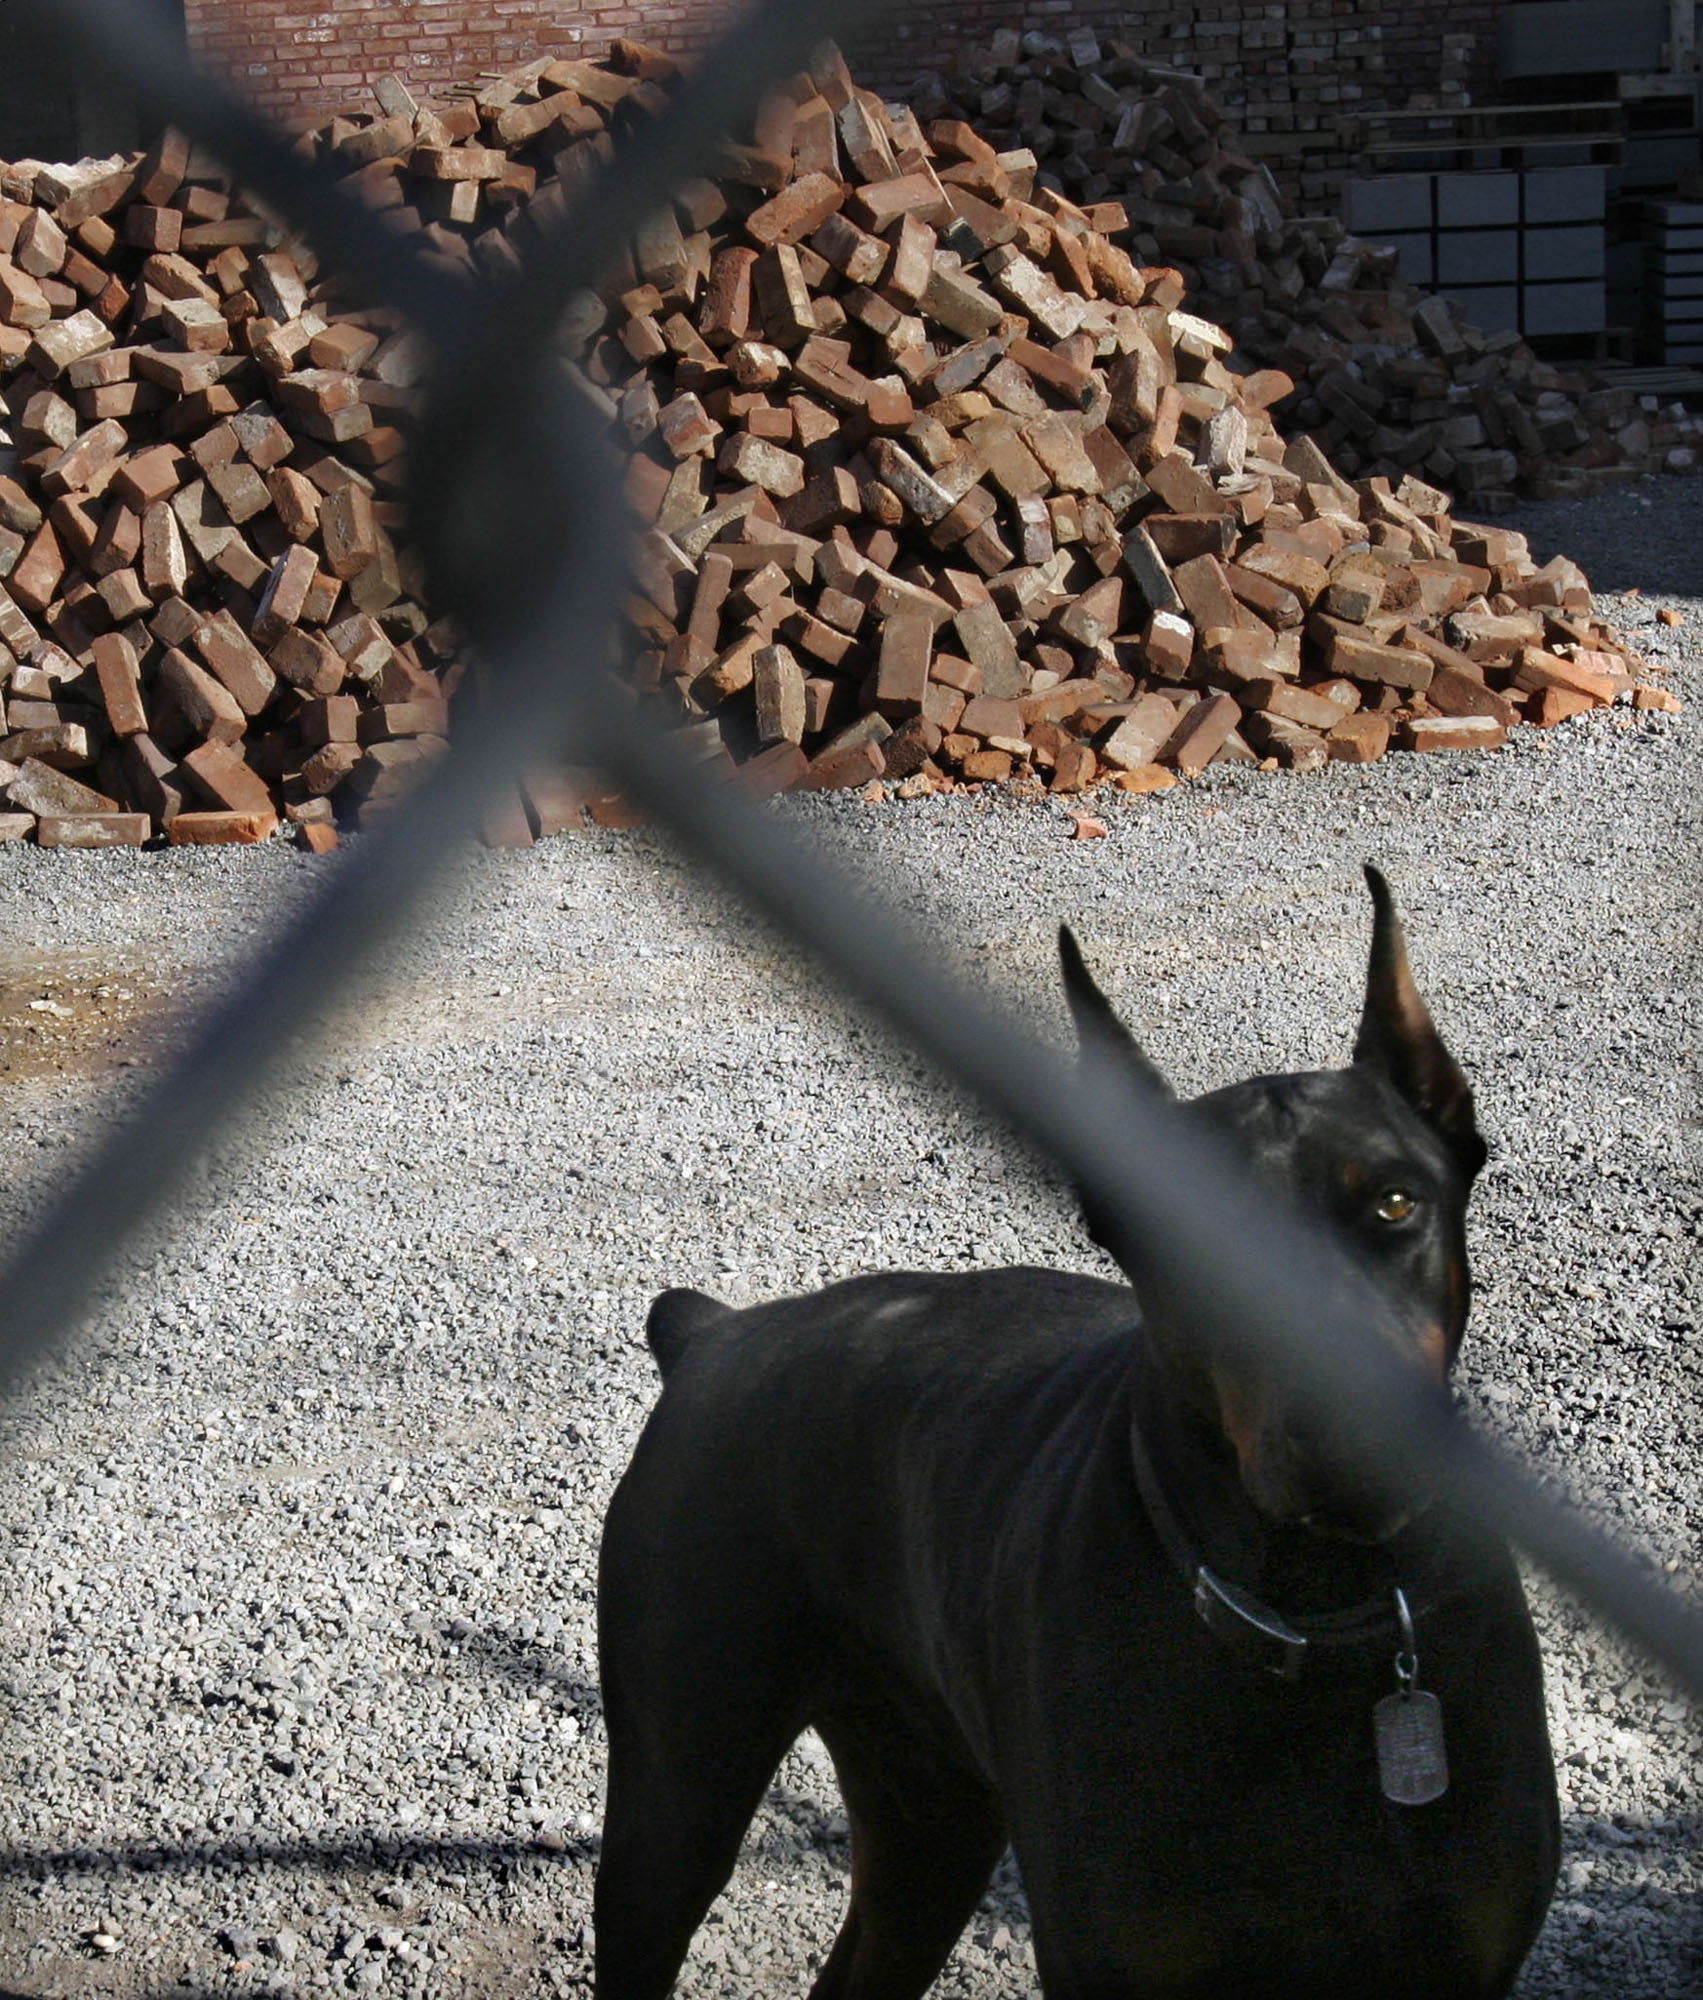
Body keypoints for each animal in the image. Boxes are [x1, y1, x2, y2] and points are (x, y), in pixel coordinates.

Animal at [595, 872, 1559, 2000]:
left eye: (1394, 1203)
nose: (1350, 1434)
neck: (1320, 1611)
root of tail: (715, 1333)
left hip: (930, 1813)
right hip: (678, 1797)